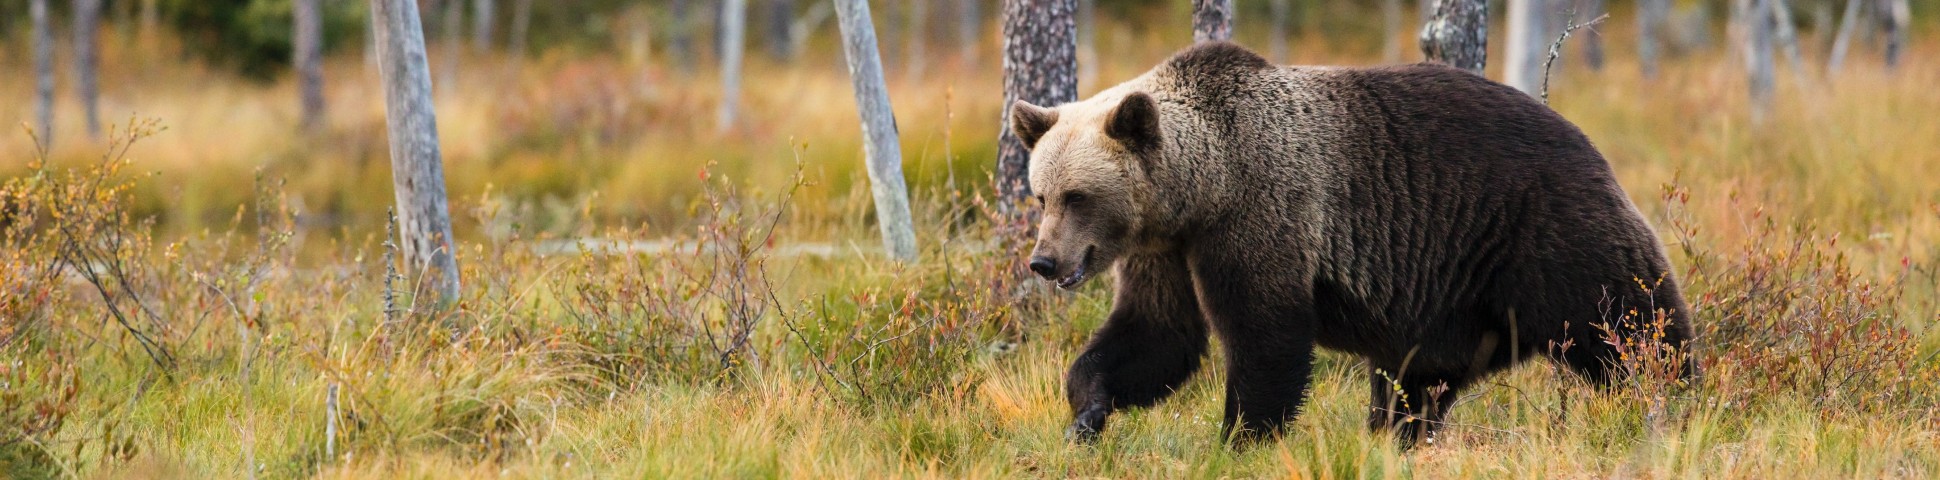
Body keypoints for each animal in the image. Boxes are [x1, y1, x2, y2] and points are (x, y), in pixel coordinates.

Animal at [1016, 42, 1699, 446]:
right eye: (1041, 195)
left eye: (1078, 195)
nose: (1044, 261)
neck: (1203, 188)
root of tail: (1589, 141)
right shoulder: (1166, 250)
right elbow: (1156, 334)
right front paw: (1087, 412)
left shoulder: (1263, 214)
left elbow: (1266, 336)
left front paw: (1241, 436)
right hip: (1450, 297)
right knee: (1417, 379)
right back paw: (1400, 434)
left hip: (1543, 232)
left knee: (1631, 322)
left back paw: (1672, 400)